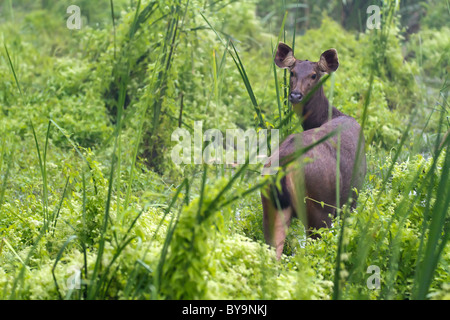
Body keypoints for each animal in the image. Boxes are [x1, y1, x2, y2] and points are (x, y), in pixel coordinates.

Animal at [264, 42, 366, 258]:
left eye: (313, 75)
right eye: (292, 72)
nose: (295, 95)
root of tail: (285, 165)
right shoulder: (352, 197)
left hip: (271, 205)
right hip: (320, 209)